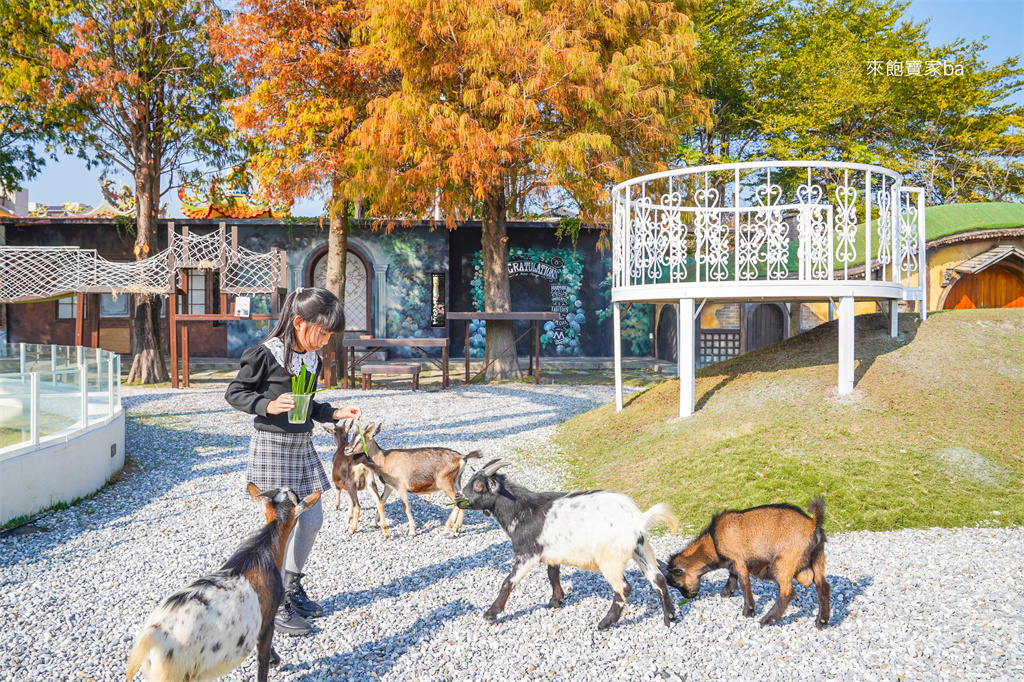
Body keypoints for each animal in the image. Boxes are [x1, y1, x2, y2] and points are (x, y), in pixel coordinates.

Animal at [346, 419, 481, 536]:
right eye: (353, 434)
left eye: (361, 438)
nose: (347, 449)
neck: (384, 459)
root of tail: (461, 457)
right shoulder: (389, 486)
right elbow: (381, 501)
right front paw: (372, 523)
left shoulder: (401, 487)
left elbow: (406, 507)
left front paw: (412, 531)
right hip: (456, 481)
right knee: (462, 499)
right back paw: (456, 527)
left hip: (445, 482)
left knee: (456, 501)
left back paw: (447, 529)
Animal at [456, 456, 679, 626]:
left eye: (478, 486)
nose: (458, 497)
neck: (521, 510)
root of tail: (637, 519)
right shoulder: (553, 553)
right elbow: (552, 575)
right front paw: (556, 601)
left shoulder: (526, 553)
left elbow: (508, 582)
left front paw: (491, 613)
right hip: (640, 549)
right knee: (658, 579)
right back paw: (669, 617)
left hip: (610, 558)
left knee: (623, 588)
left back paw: (606, 623)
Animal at [667, 499, 827, 626]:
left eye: (676, 583)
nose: (688, 597)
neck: (713, 541)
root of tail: (813, 524)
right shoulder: (733, 562)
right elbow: (732, 575)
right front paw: (727, 592)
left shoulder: (738, 559)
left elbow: (744, 583)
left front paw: (748, 610)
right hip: (818, 557)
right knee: (822, 586)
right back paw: (822, 621)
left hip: (785, 562)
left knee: (787, 592)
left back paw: (767, 619)